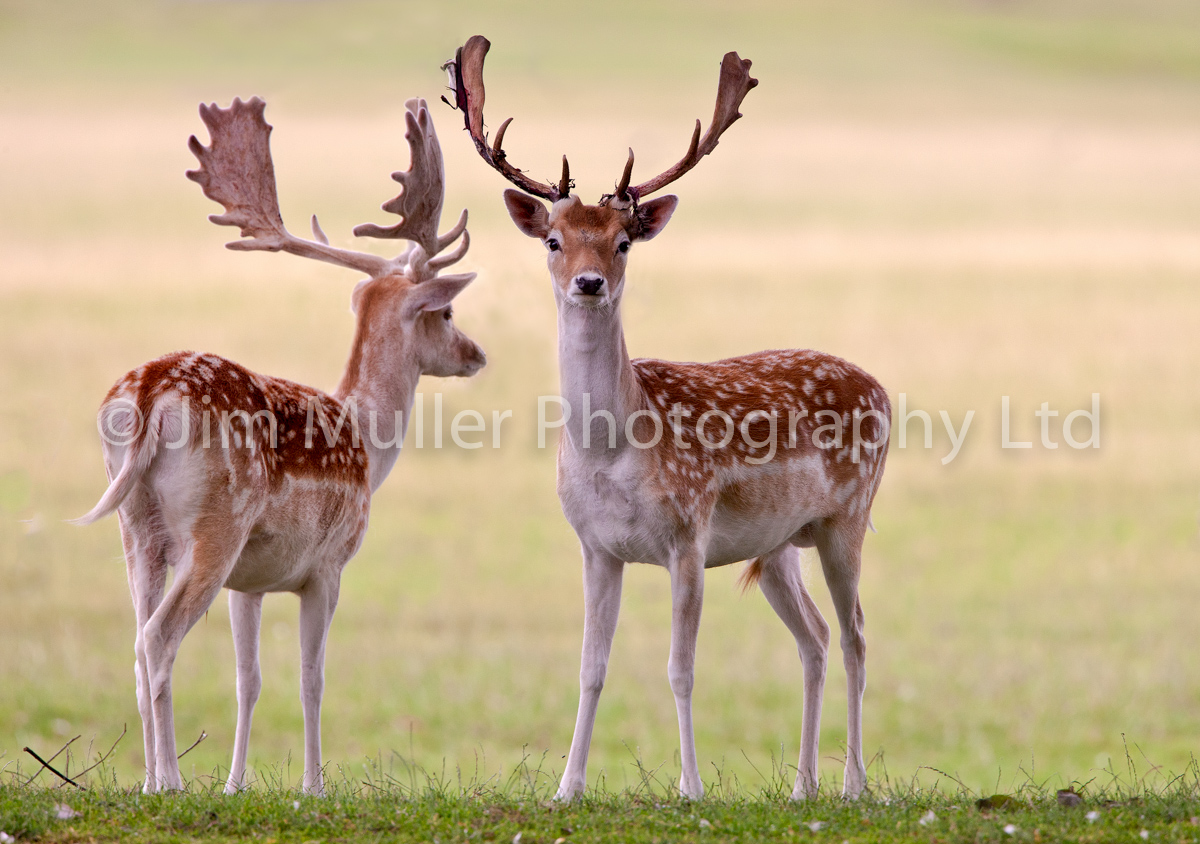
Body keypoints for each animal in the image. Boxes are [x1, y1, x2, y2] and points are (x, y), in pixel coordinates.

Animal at [73, 96, 482, 797]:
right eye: (448, 315)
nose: (477, 354)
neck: (367, 441)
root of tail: (152, 394)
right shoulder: (329, 564)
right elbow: (311, 678)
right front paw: (313, 786)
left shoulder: (253, 581)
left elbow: (250, 680)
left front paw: (236, 784)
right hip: (217, 524)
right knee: (158, 639)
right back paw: (170, 781)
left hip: (135, 525)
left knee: (135, 639)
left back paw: (151, 780)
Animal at [451, 36, 892, 801]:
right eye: (554, 240)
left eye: (623, 241)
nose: (589, 282)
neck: (610, 448)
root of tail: (886, 392)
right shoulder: (595, 546)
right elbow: (590, 669)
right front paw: (567, 788)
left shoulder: (688, 535)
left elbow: (680, 669)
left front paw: (690, 787)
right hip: (780, 544)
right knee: (813, 637)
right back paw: (803, 785)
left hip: (848, 517)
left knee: (858, 634)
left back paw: (852, 785)